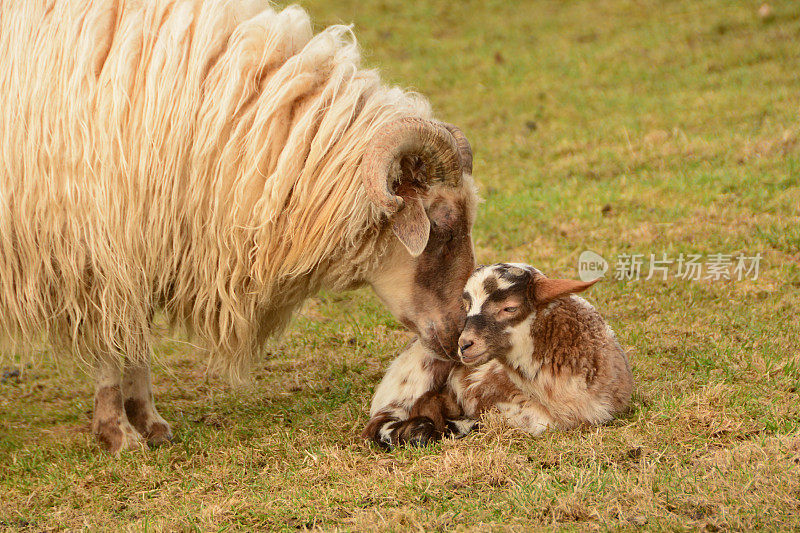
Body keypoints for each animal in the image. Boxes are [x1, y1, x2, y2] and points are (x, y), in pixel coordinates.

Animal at [362, 262, 632, 444]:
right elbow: (538, 422)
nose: (463, 345)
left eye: (509, 307)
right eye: (467, 306)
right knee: (378, 424)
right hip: (412, 377)